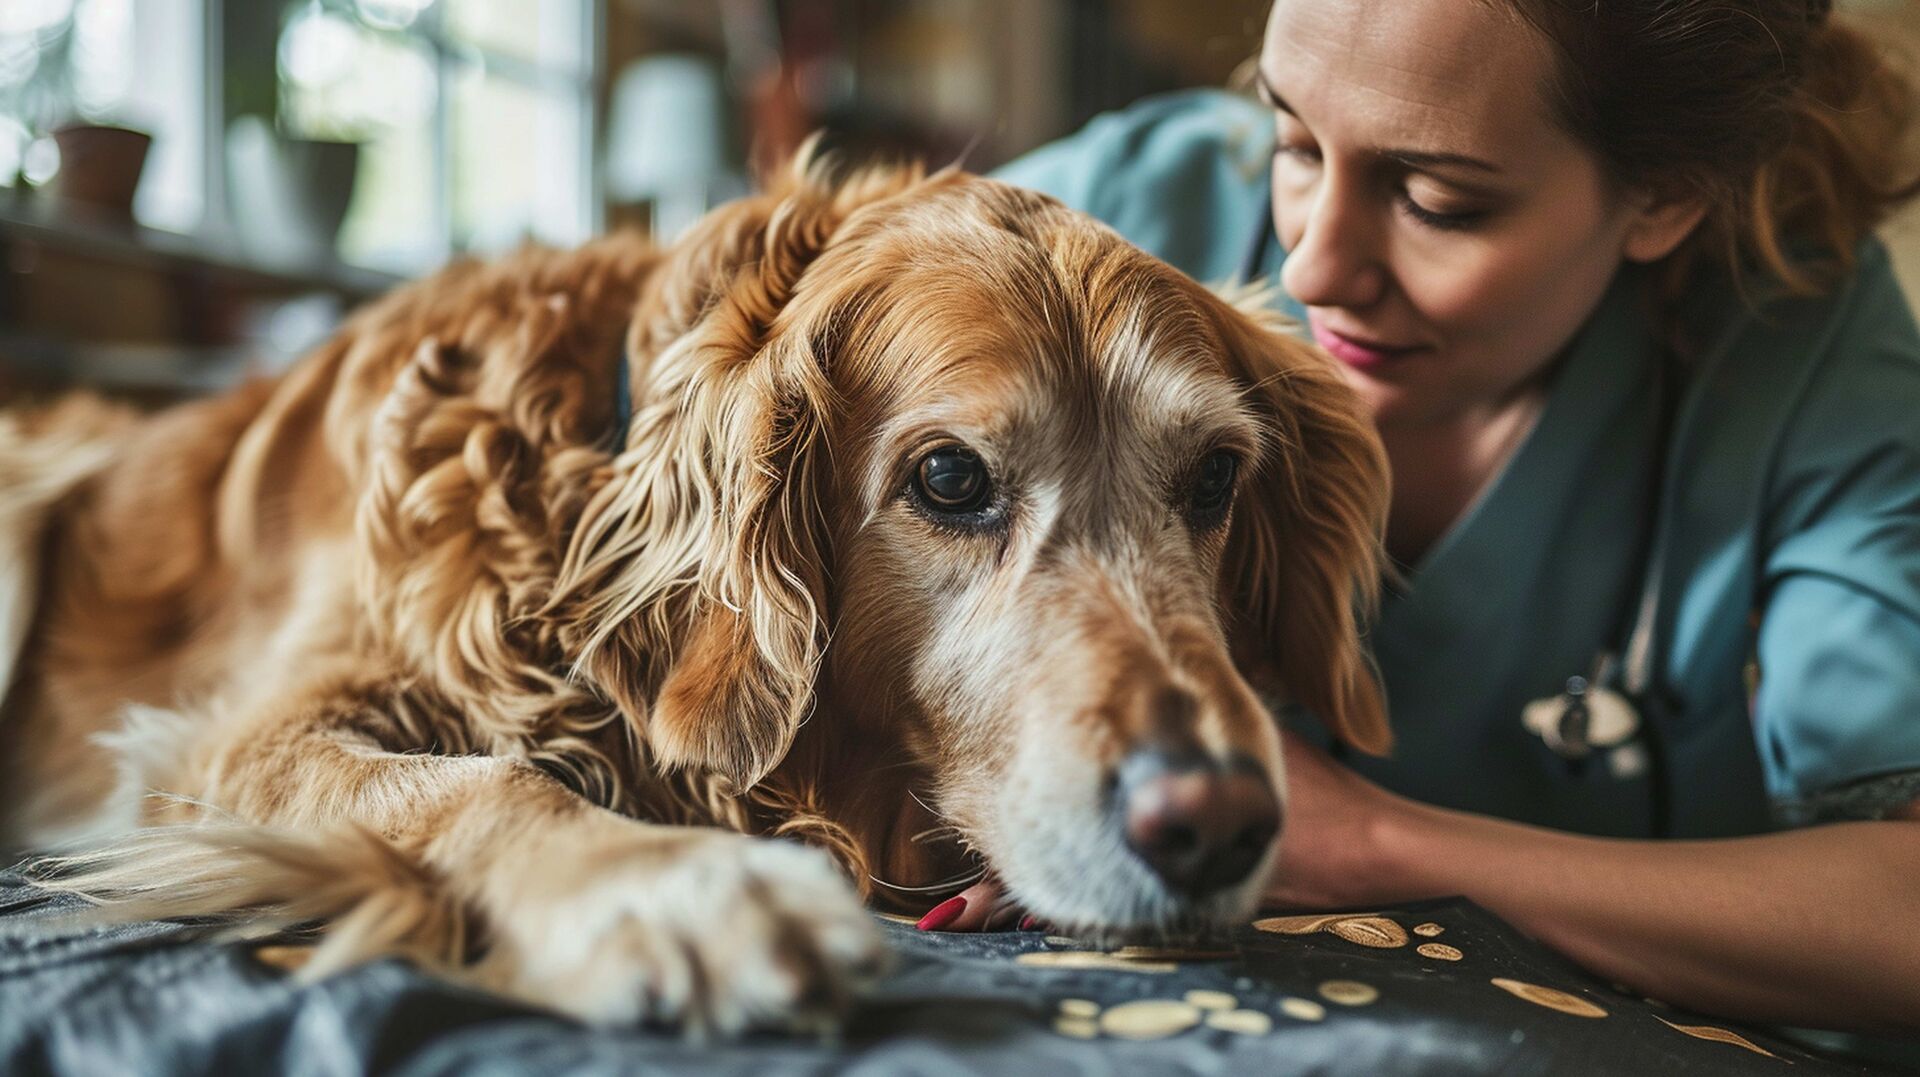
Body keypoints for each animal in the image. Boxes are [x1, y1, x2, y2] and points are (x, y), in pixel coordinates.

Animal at [0, 155, 1397, 1029]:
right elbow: (470, 780)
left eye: (1214, 477)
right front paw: (672, 885)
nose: (1217, 824)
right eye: (949, 478)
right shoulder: (226, 740)